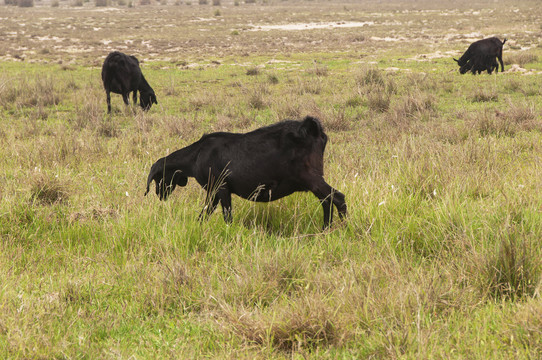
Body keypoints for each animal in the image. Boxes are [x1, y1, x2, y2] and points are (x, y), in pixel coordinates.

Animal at [144, 115, 348, 228]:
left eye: (157, 178)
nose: (159, 195)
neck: (196, 155)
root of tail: (314, 130)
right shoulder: (214, 192)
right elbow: (206, 213)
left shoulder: (221, 188)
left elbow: (226, 216)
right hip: (312, 180)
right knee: (326, 201)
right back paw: (325, 230)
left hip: (310, 177)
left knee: (337, 198)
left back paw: (343, 229)